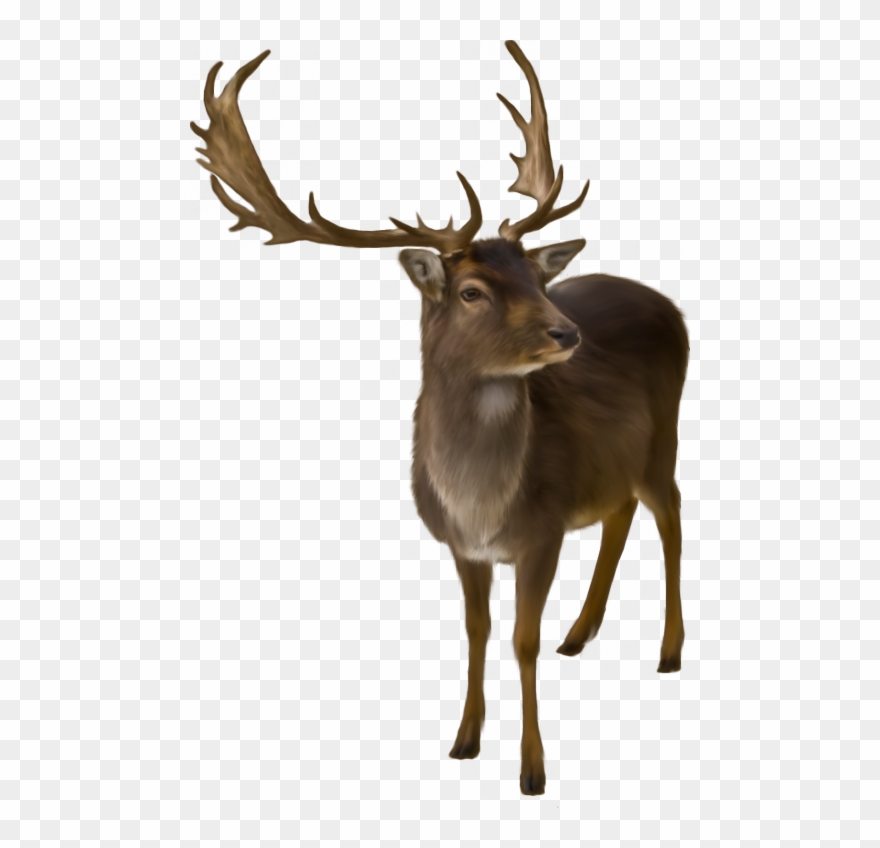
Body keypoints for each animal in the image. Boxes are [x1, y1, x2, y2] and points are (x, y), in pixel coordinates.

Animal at [192, 41, 689, 796]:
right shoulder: (462, 546)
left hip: (667, 433)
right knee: (621, 510)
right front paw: (464, 740)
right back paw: (581, 634)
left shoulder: (542, 531)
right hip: (620, 460)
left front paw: (533, 770)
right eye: (472, 290)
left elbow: (521, 640)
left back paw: (668, 650)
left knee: (670, 515)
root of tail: (668, 303)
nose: (567, 333)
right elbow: (477, 632)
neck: (482, 503)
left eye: (538, 278)